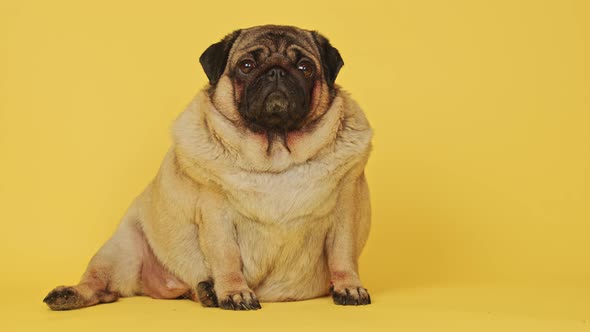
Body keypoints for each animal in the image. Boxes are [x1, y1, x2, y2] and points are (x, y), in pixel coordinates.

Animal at [44, 24, 372, 312]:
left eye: (305, 67)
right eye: (247, 65)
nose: (276, 72)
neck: (276, 150)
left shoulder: (345, 210)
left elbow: (342, 255)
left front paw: (348, 287)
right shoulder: (217, 215)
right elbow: (226, 257)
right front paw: (234, 292)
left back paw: (205, 291)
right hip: (120, 249)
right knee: (100, 287)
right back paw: (69, 294)